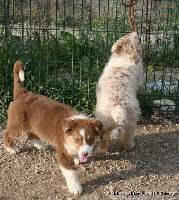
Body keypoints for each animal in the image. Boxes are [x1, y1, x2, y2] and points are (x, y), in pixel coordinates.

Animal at [3, 60, 103, 194]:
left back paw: (41, 145)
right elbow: (70, 172)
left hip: (31, 123)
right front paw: (75, 187)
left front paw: (76, 157)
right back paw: (11, 148)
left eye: (90, 139)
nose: (85, 154)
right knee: (7, 133)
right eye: (76, 139)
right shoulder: (62, 150)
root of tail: (23, 94)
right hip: (18, 123)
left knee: (31, 133)